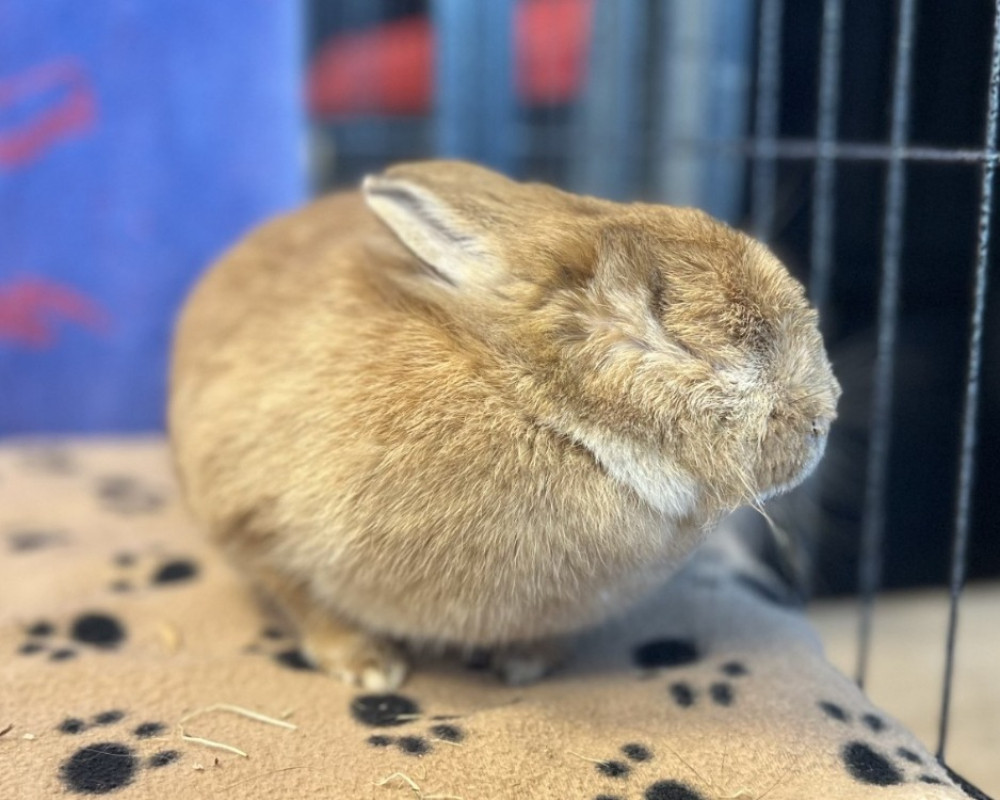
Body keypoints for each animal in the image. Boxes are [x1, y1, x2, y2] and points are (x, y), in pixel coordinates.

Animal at [168, 160, 840, 690]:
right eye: (685, 341)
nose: (823, 419)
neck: (539, 406)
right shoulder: (253, 526)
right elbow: (301, 598)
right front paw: (369, 668)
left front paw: (525, 665)